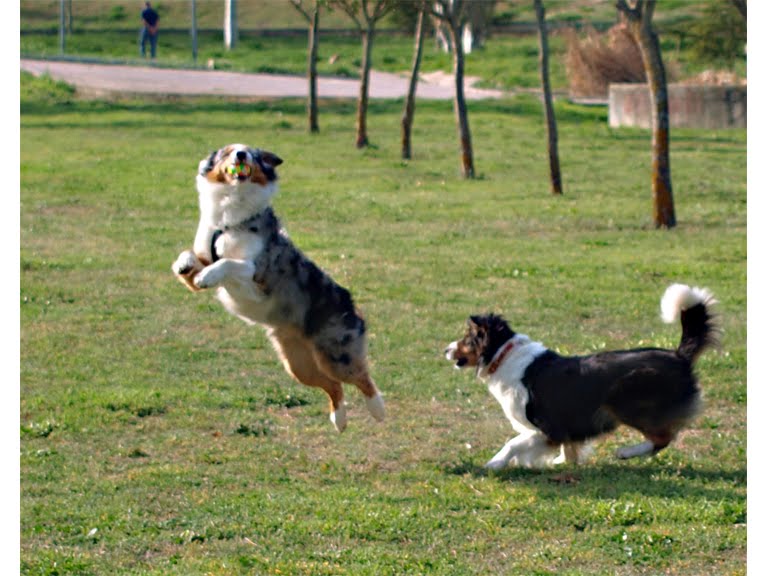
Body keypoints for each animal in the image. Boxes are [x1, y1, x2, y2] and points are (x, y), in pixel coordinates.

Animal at [170, 144, 382, 432]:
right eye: (228, 151)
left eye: (252, 154)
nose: (240, 155)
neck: (229, 218)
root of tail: (351, 302)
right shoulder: (204, 257)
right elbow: (191, 257)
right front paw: (182, 265)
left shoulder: (257, 273)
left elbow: (227, 263)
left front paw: (208, 275)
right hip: (298, 365)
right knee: (333, 386)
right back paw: (339, 421)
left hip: (337, 354)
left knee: (362, 378)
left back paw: (378, 410)